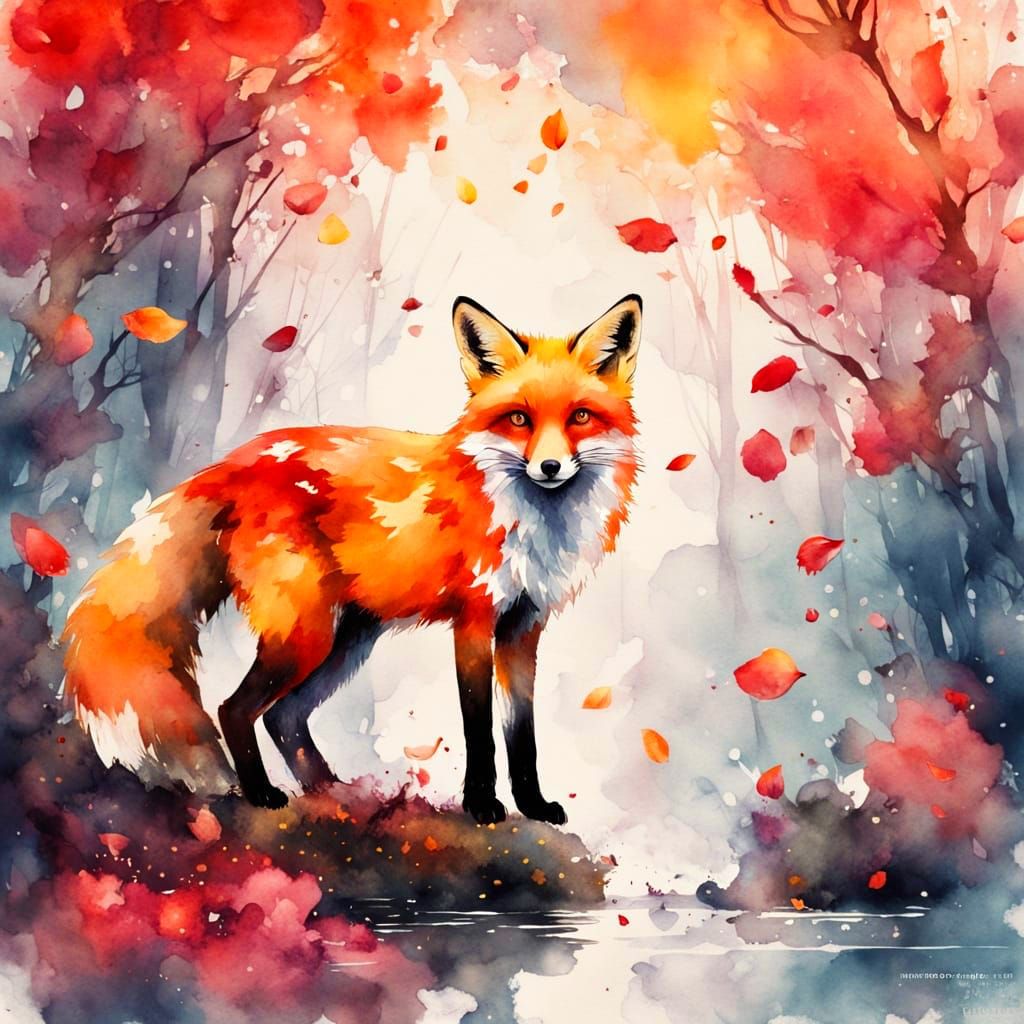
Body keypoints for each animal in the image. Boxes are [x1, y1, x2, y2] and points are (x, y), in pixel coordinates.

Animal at [62, 294, 642, 824]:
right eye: (519, 418)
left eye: (580, 417)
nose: (550, 467)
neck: (528, 523)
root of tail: (233, 463)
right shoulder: (475, 622)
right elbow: (479, 731)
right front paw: (481, 804)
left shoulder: (524, 627)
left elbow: (523, 734)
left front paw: (534, 805)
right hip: (305, 637)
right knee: (234, 708)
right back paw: (264, 795)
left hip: (347, 641)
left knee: (284, 718)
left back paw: (334, 794)